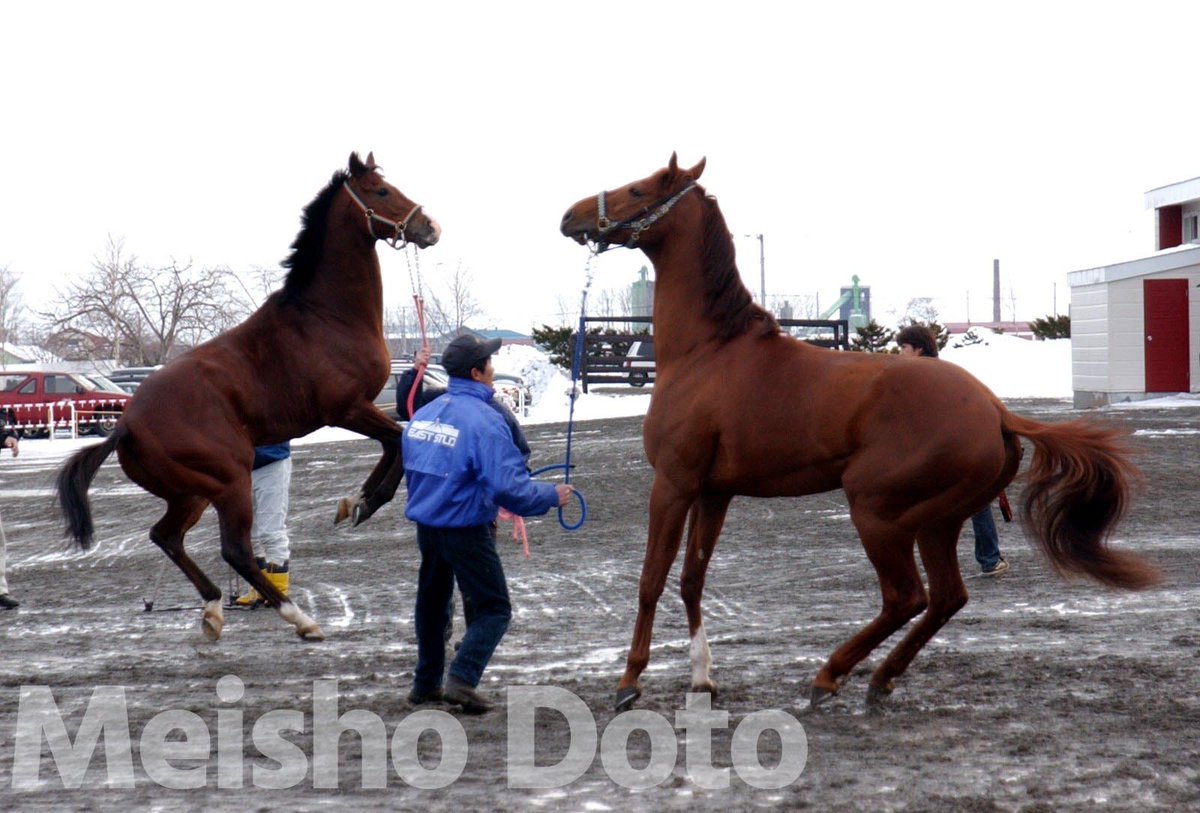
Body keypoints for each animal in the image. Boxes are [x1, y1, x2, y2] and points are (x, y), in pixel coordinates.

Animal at [57, 152, 440, 642]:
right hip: (230, 482)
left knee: (166, 537)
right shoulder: (348, 409)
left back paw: (214, 608)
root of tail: (124, 424)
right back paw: (299, 618)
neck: (325, 317)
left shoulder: (358, 410)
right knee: (234, 550)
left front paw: (355, 502)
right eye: (381, 191)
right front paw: (363, 503)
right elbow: (396, 441)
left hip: (193, 494)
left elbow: (395, 442)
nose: (429, 226)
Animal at [560, 153, 1160, 711]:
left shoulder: (674, 484)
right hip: (937, 522)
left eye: (640, 189)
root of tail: (995, 411)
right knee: (946, 597)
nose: (571, 216)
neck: (708, 352)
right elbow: (691, 580)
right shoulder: (714, 493)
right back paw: (880, 677)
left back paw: (830, 675)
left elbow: (651, 580)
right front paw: (703, 678)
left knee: (905, 597)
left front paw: (629, 681)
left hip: (876, 512)